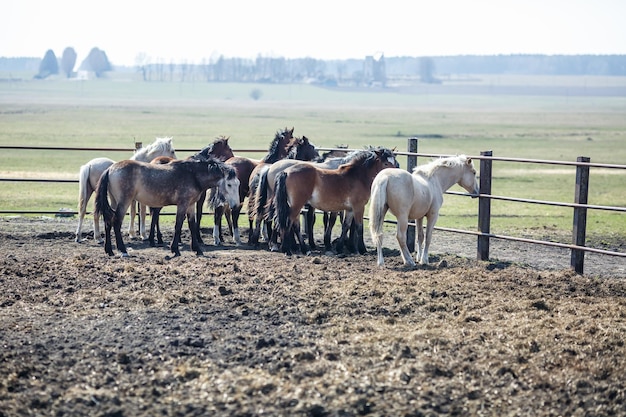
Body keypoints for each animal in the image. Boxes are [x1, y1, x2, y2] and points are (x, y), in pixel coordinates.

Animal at [95, 157, 239, 256]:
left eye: (238, 183)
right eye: (229, 184)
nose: (236, 205)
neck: (193, 175)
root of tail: (110, 169)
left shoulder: (191, 205)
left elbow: (192, 226)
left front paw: (197, 249)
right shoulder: (182, 204)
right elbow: (178, 225)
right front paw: (175, 249)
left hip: (114, 201)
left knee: (108, 221)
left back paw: (109, 250)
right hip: (124, 202)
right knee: (116, 222)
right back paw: (123, 250)